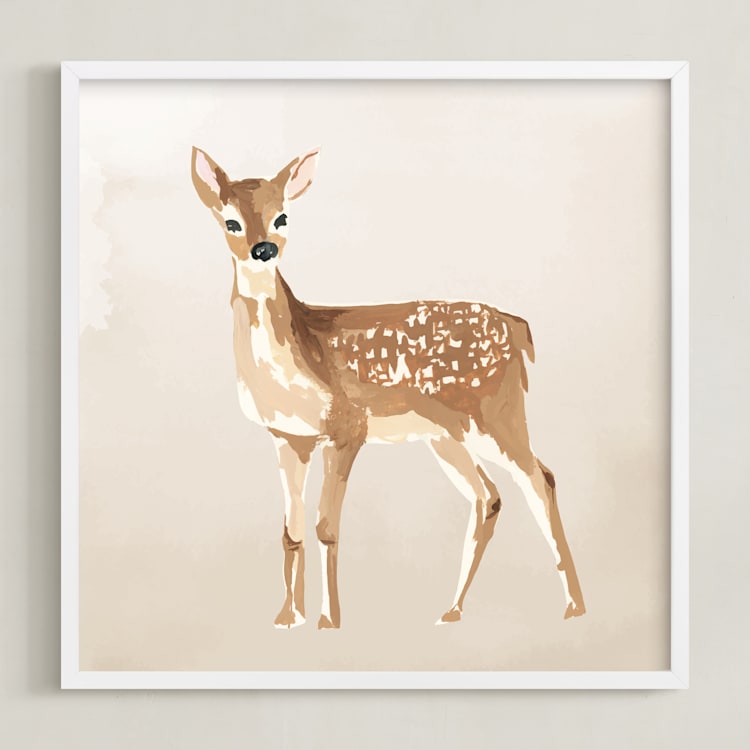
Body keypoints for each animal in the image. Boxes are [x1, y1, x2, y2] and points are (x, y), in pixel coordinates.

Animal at [191, 145, 586, 630]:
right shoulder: (287, 437)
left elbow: (326, 527)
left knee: (539, 477)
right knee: (488, 496)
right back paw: (451, 610)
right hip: (447, 435)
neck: (299, 352)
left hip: (496, 412)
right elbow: (290, 531)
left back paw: (574, 607)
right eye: (230, 222)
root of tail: (518, 328)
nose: (263, 249)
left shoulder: (347, 427)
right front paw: (287, 617)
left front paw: (329, 620)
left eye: (282, 217)